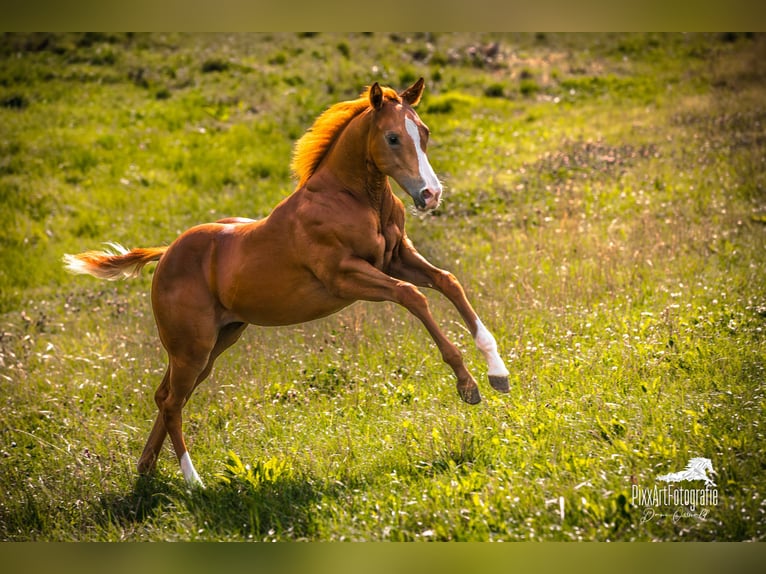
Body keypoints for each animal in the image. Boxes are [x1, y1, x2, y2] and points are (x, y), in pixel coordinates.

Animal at [63, 78, 510, 487]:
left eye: (425, 132)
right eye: (393, 137)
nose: (431, 194)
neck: (352, 198)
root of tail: (166, 253)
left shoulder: (398, 258)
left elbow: (448, 282)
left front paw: (498, 372)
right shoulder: (345, 276)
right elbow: (414, 297)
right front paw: (467, 384)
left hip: (216, 342)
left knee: (166, 396)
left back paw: (145, 470)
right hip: (192, 347)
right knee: (173, 402)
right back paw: (194, 483)